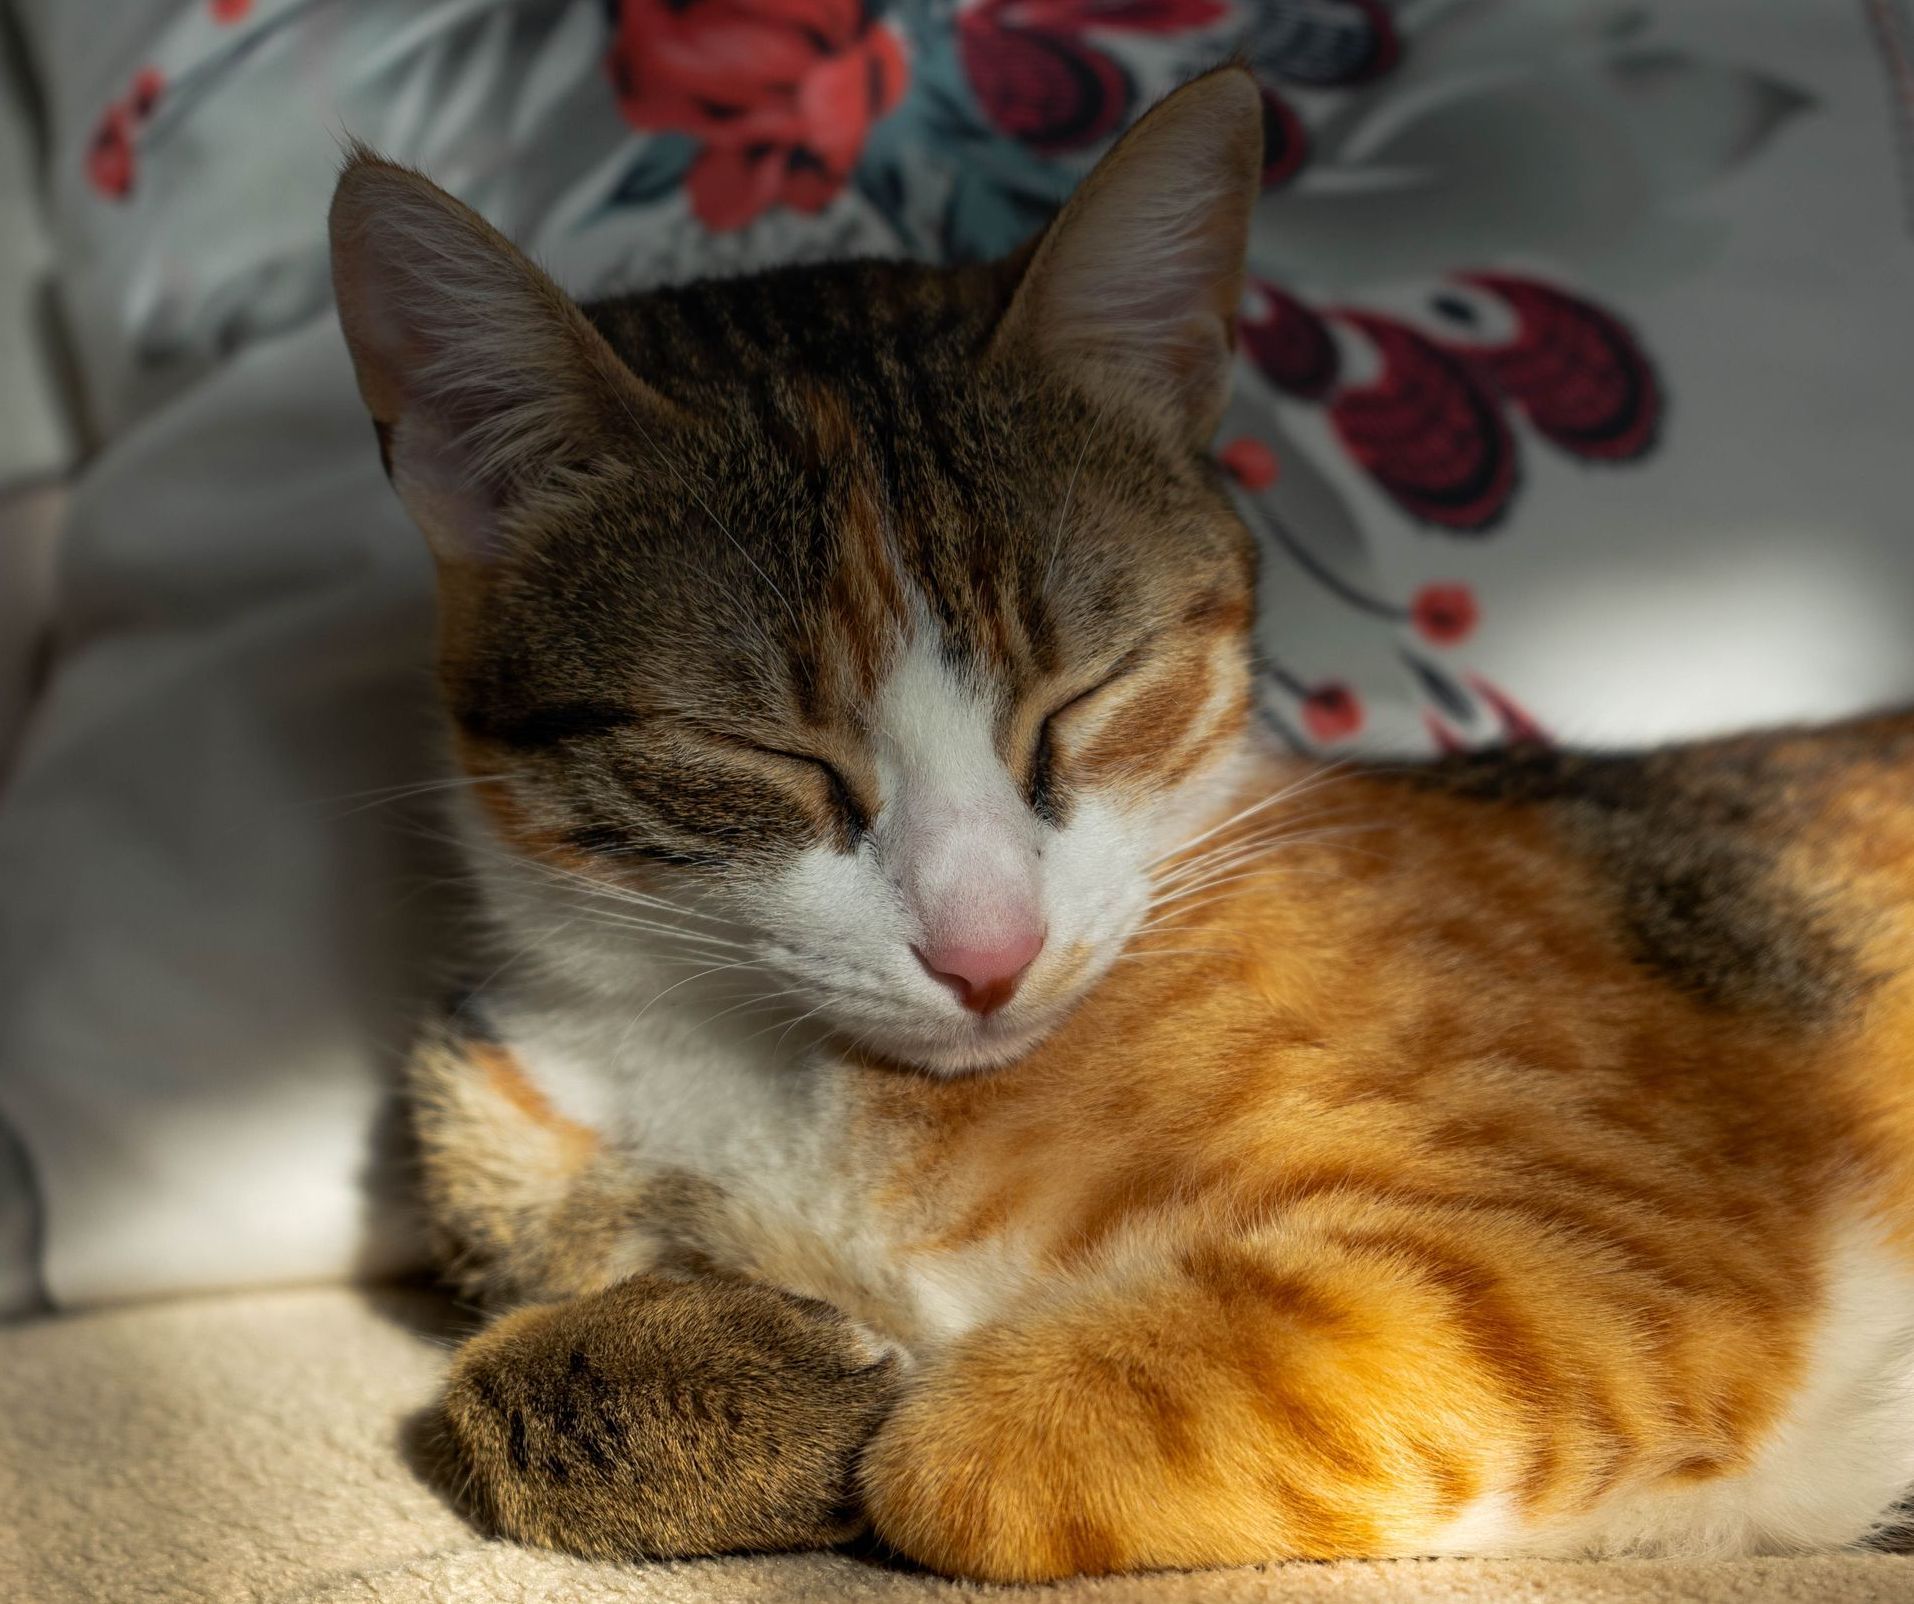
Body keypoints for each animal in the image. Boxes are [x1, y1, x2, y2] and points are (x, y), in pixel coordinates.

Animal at [325, 68, 1914, 1592]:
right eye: (762, 752)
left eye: (1086, 694)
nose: (986, 954)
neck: (757, 1059)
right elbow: (490, 1382)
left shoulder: (1587, 1247)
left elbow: (951, 1464)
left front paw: (902, 1416)